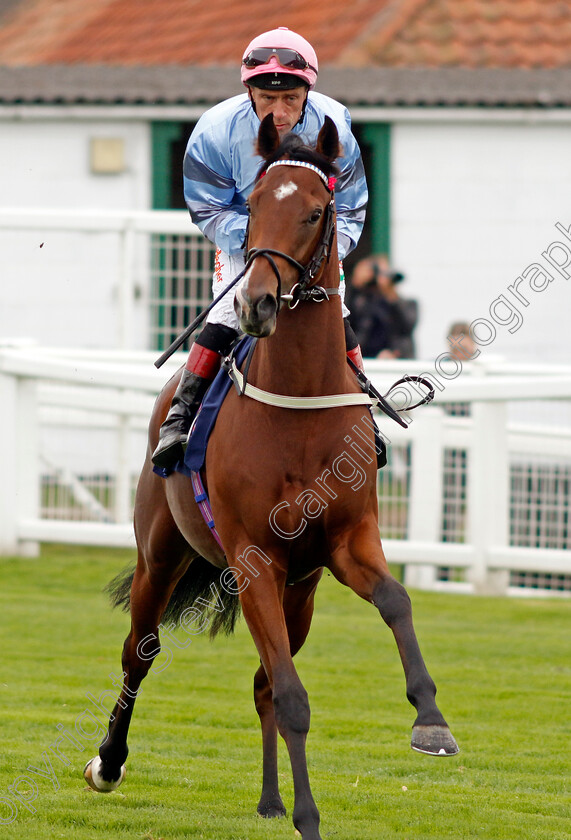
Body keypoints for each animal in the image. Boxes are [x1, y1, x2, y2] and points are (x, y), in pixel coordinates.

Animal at [85, 113, 458, 840]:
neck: (299, 408)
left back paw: (268, 799)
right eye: (253, 206)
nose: (258, 301)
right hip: (163, 554)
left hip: (301, 590)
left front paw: (430, 722)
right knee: (140, 651)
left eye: (315, 210)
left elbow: (395, 601)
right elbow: (292, 697)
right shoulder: (253, 557)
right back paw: (109, 762)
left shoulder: (346, 543)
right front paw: (310, 817)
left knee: (260, 679)